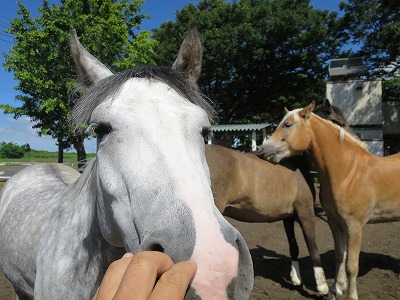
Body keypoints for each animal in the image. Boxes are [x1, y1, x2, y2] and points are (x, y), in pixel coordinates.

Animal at [205, 144, 330, 294]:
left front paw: (296, 280)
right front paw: (323, 287)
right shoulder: (306, 213)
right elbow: (312, 247)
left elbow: (294, 247)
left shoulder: (288, 218)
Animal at [260, 101, 400, 300]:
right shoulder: (335, 223)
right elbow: (339, 257)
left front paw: (351, 296)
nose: (262, 150)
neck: (349, 172)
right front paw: (335, 290)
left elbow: (351, 265)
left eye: (287, 124)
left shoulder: (355, 226)